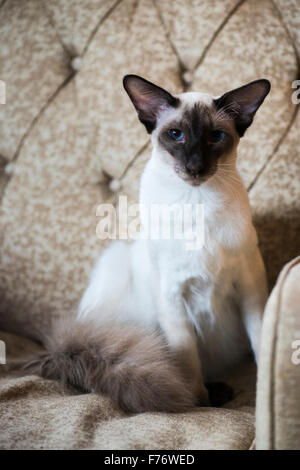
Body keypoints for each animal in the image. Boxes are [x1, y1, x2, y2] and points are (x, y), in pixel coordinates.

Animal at [28, 72, 270, 412]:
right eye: (176, 135)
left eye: (215, 137)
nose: (195, 167)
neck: (197, 201)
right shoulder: (172, 296)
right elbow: (187, 361)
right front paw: (196, 405)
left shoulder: (250, 286)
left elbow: (261, 343)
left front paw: (260, 398)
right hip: (116, 260)